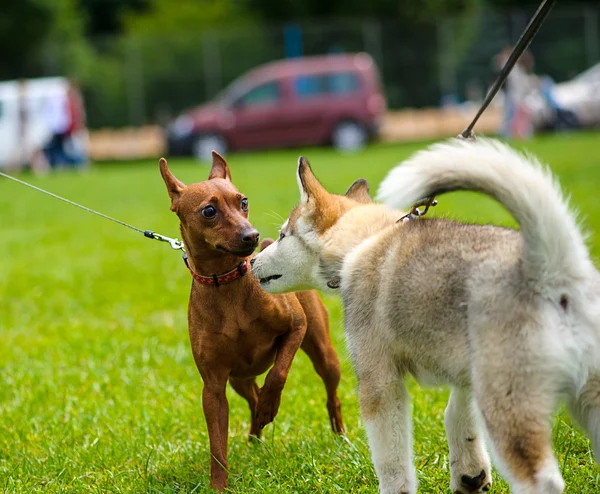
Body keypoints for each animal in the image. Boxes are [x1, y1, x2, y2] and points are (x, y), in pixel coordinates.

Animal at [159, 152, 344, 492]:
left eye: (243, 202)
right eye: (209, 211)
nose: (252, 236)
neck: (226, 284)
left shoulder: (295, 328)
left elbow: (278, 373)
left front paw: (271, 405)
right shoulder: (214, 389)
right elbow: (217, 446)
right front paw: (219, 485)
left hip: (324, 355)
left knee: (330, 396)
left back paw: (339, 435)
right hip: (238, 380)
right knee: (251, 397)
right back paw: (255, 433)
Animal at [253, 139, 600, 494]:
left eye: (282, 235)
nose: (251, 260)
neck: (366, 240)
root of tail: (552, 271)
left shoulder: (379, 382)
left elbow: (392, 462)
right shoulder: (464, 366)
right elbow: (457, 411)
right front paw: (470, 472)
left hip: (508, 405)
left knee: (542, 480)